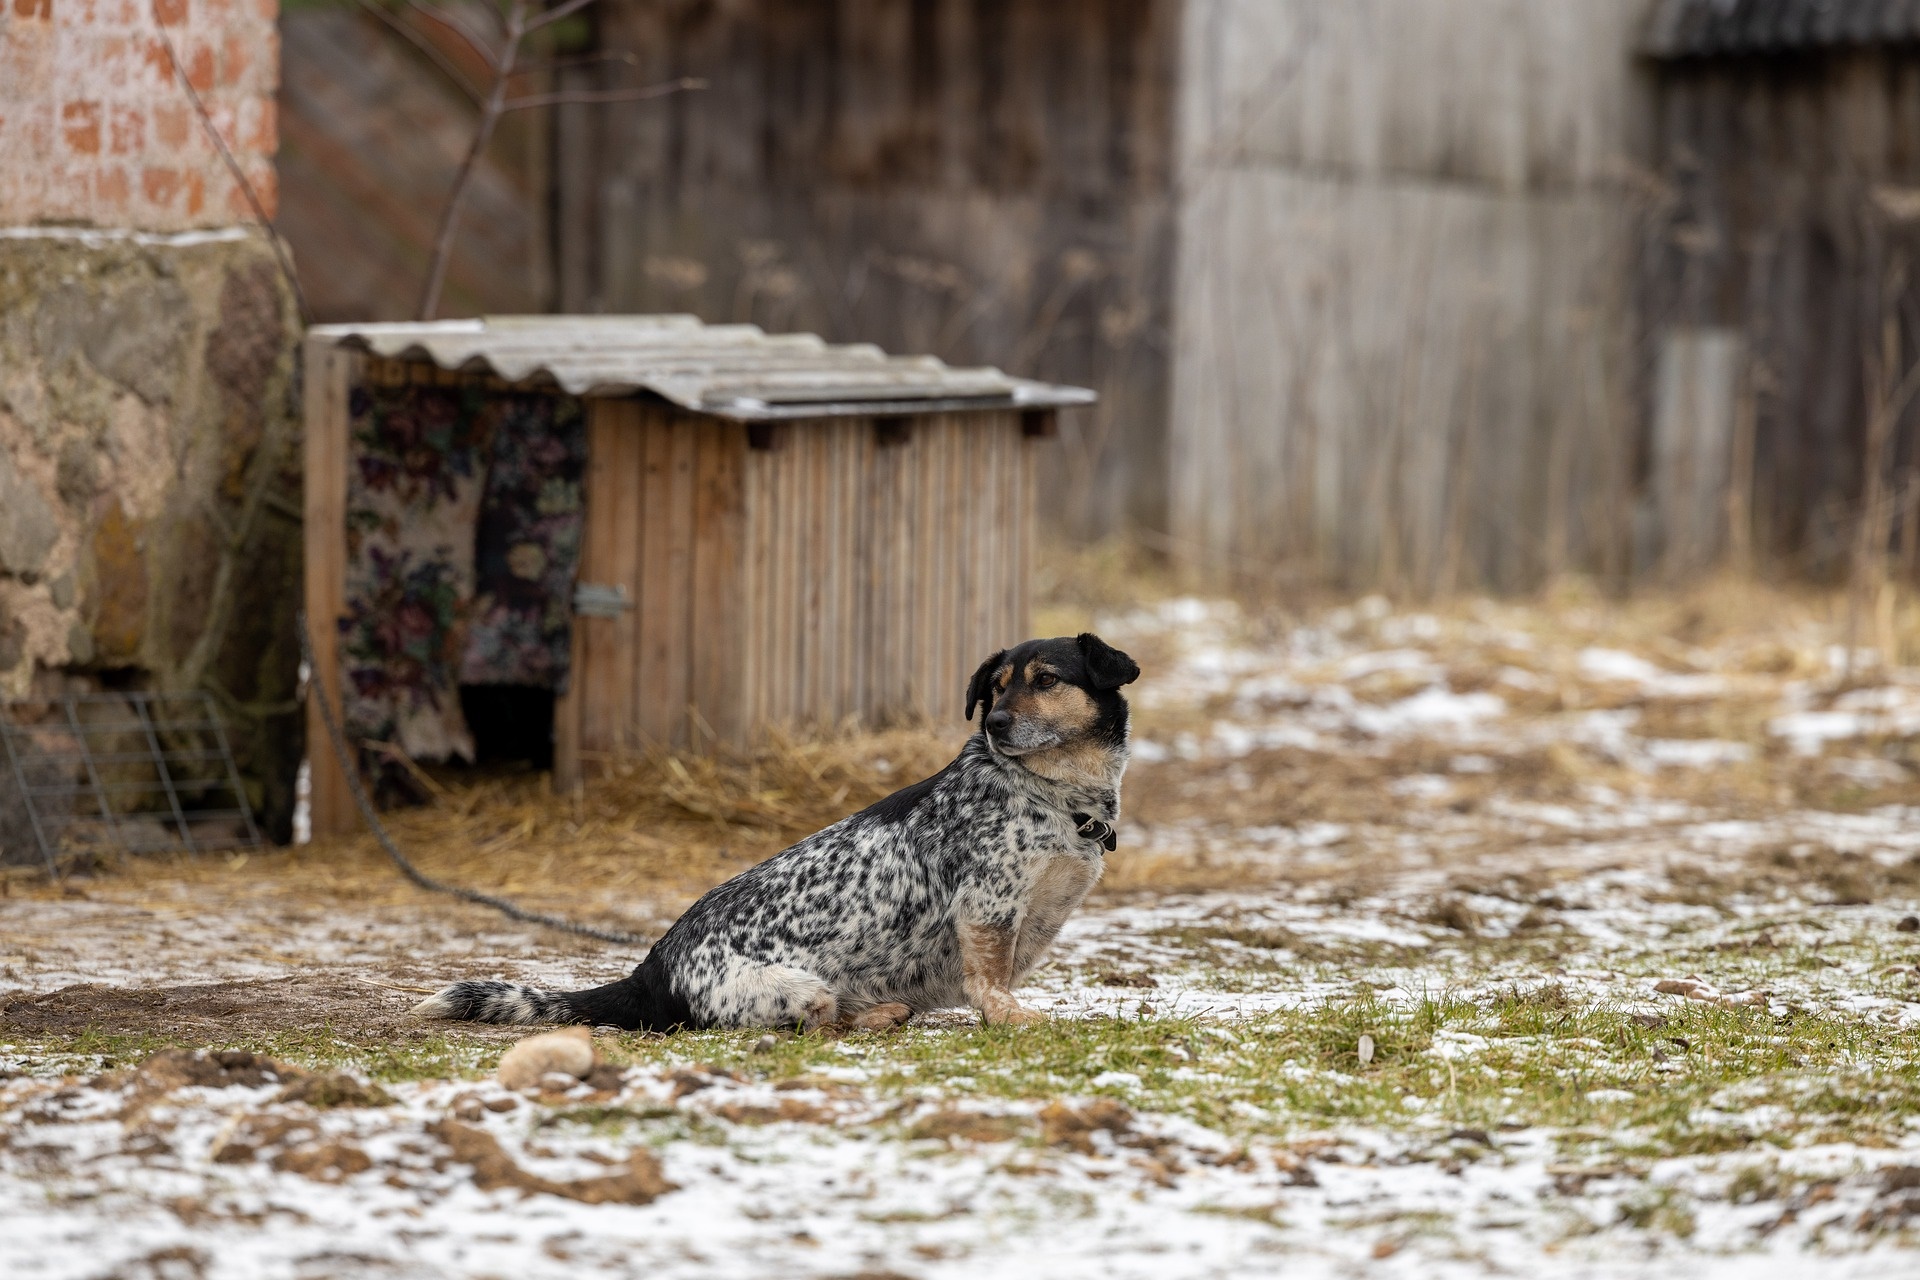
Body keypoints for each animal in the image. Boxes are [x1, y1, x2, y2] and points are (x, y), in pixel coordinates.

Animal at [416, 637, 1136, 1036]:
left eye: (1047, 680)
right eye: (995, 690)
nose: (997, 725)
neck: (1047, 792)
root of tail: (651, 970)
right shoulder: (988, 908)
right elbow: (990, 983)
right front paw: (1013, 1018)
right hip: (801, 988)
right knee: (814, 1024)